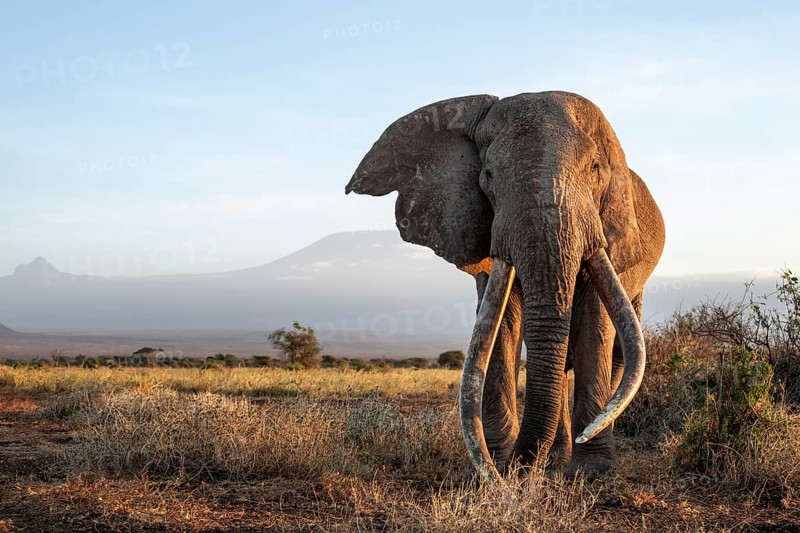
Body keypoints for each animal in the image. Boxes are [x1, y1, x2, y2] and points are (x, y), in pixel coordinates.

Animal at [345, 91, 665, 481]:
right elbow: (500, 321)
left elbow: (594, 322)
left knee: (617, 348)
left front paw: (590, 474)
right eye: (488, 175)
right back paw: (552, 459)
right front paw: (498, 466)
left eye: (594, 169)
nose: (510, 475)